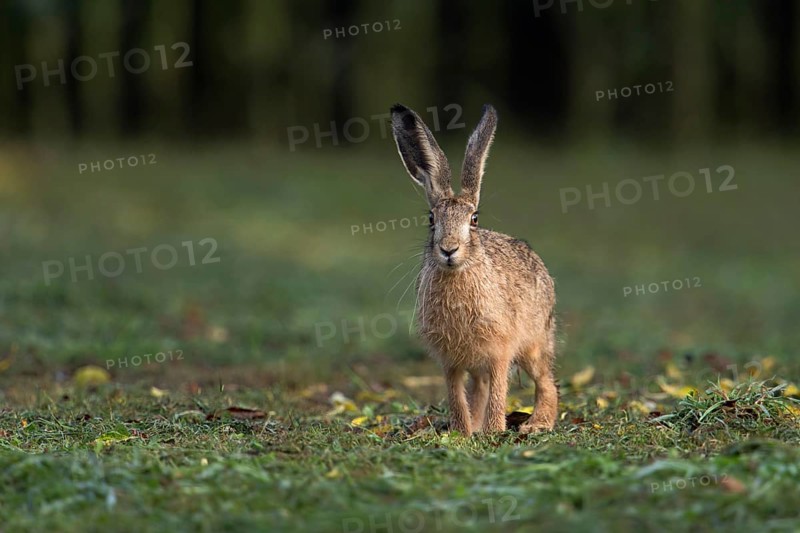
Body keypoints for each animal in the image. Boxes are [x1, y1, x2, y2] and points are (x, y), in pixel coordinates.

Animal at [390, 103, 558, 436]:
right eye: (431, 219)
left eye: (474, 219)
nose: (449, 249)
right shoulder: (450, 360)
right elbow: (457, 393)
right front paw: (461, 432)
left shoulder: (499, 350)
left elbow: (499, 390)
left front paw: (493, 431)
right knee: (479, 387)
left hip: (534, 342)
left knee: (546, 381)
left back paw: (536, 425)